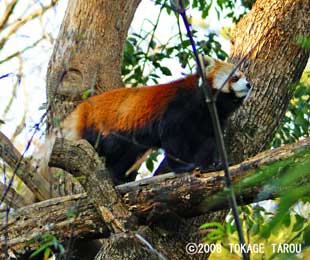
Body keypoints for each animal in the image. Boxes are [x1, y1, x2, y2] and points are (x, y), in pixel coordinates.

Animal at [41, 56, 249, 184]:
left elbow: (209, 143)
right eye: (235, 77)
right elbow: (173, 141)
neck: (206, 106)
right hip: (101, 127)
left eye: (243, 77)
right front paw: (183, 167)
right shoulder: (177, 109)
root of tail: (81, 108)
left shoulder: (210, 122)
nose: (249, 84)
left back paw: (118, 178)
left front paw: (212, 164)